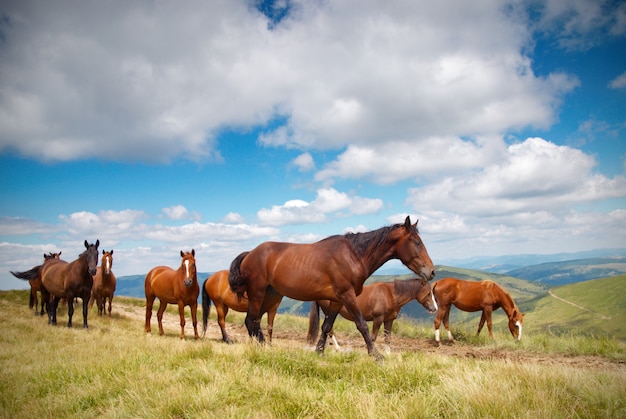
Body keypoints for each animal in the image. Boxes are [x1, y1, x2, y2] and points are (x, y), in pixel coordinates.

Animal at [306, 278, 434, 350]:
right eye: (428, 293)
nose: (434, 308)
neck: (390, 294)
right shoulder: (378, 318)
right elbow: (373, 338)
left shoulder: (389, 319)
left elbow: (387, 338)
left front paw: (388, 355)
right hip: (329, 311)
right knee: (329, 329)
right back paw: (336, 348)